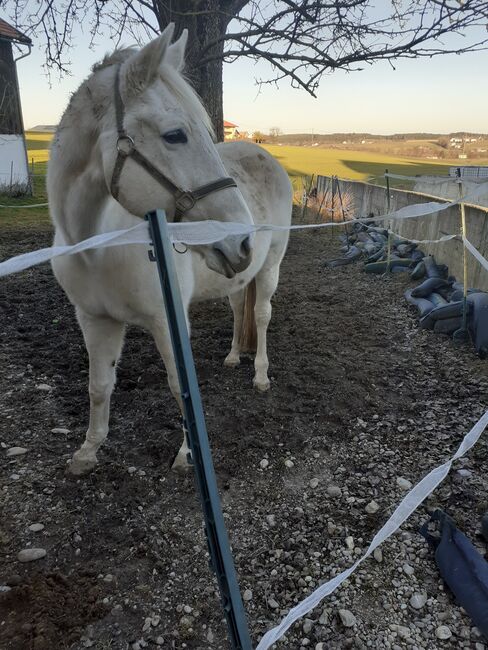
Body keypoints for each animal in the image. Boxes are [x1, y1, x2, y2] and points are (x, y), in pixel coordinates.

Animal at [48, 25, 294, 474]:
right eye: (175, 135)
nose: (241, 239)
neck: (97, 246)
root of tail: (262, 151)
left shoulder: (168, 321)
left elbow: (181, 387)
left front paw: (187, 453)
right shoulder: (93, 319)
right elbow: (98, 385)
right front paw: (88, 450)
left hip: (269, 266)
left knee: (263, 315)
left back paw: (260, 375)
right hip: (236, 276)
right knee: (239, 308)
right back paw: (234, 356)